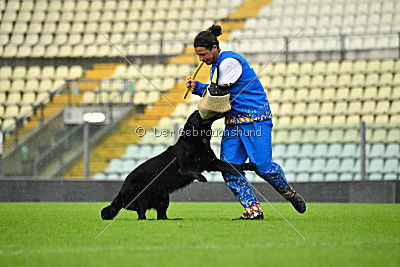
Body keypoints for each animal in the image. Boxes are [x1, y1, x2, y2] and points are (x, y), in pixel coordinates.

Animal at [101, 112, 256, 221]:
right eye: (198, 114)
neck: (195, 141)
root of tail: (120, 193)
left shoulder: (212, 163)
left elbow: (233, 166)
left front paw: (248, 165)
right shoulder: (183, 168)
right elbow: (191, 171)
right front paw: (201, 177)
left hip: (164, 198)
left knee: (161, 216)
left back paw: (172, 219)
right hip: (142, 197)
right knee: (141, 215)